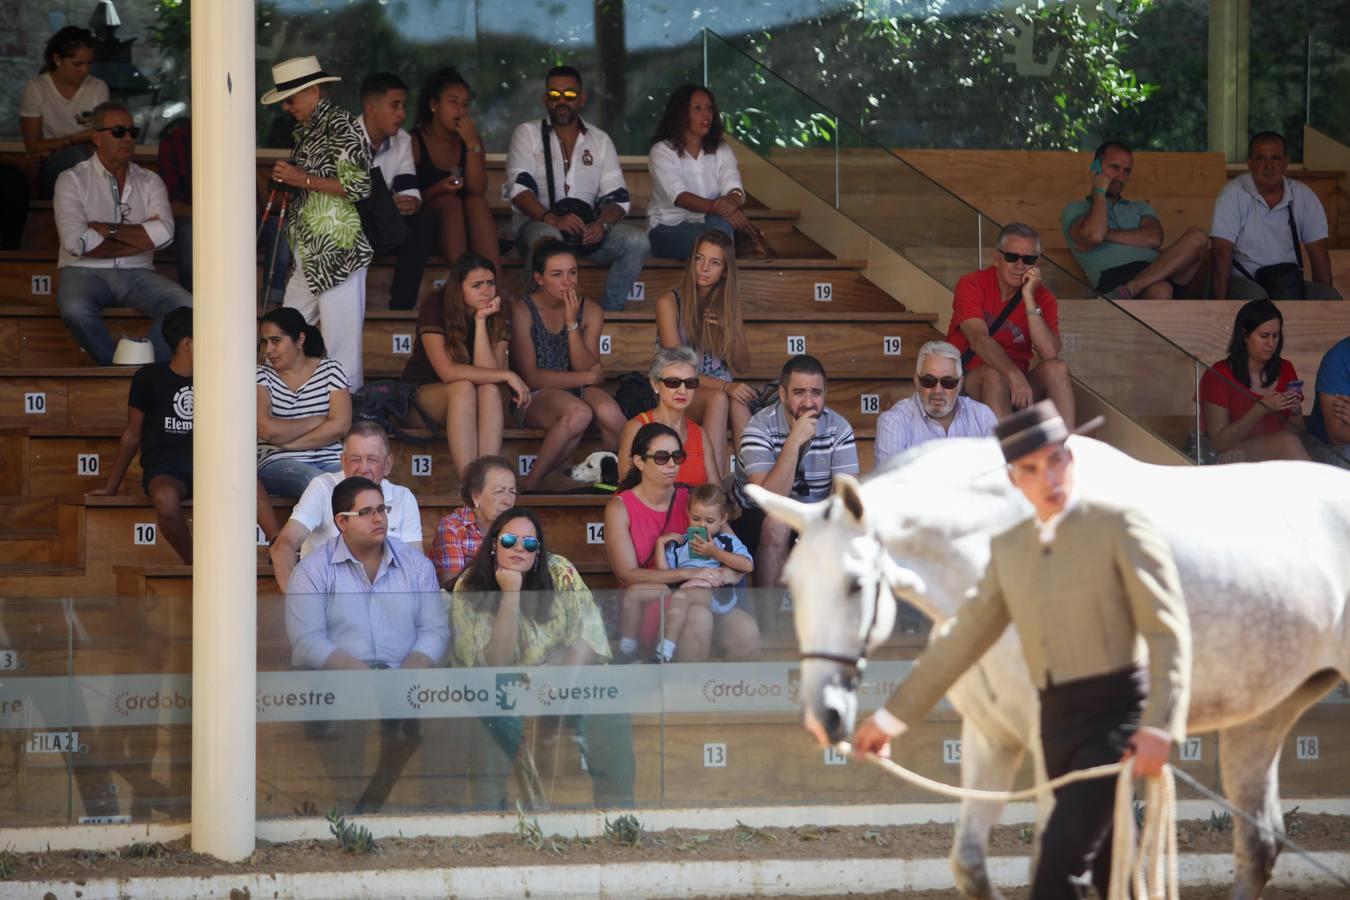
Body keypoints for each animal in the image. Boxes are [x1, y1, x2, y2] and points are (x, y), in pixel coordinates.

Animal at [750, 431, 1350, 895]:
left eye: (855, 584)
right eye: (791, 584)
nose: (823, 715)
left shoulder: (1055, 750)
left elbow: (1055, 858)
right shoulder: (991, 736)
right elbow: (970, 864)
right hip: (1261, 716)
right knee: (1259, 844)